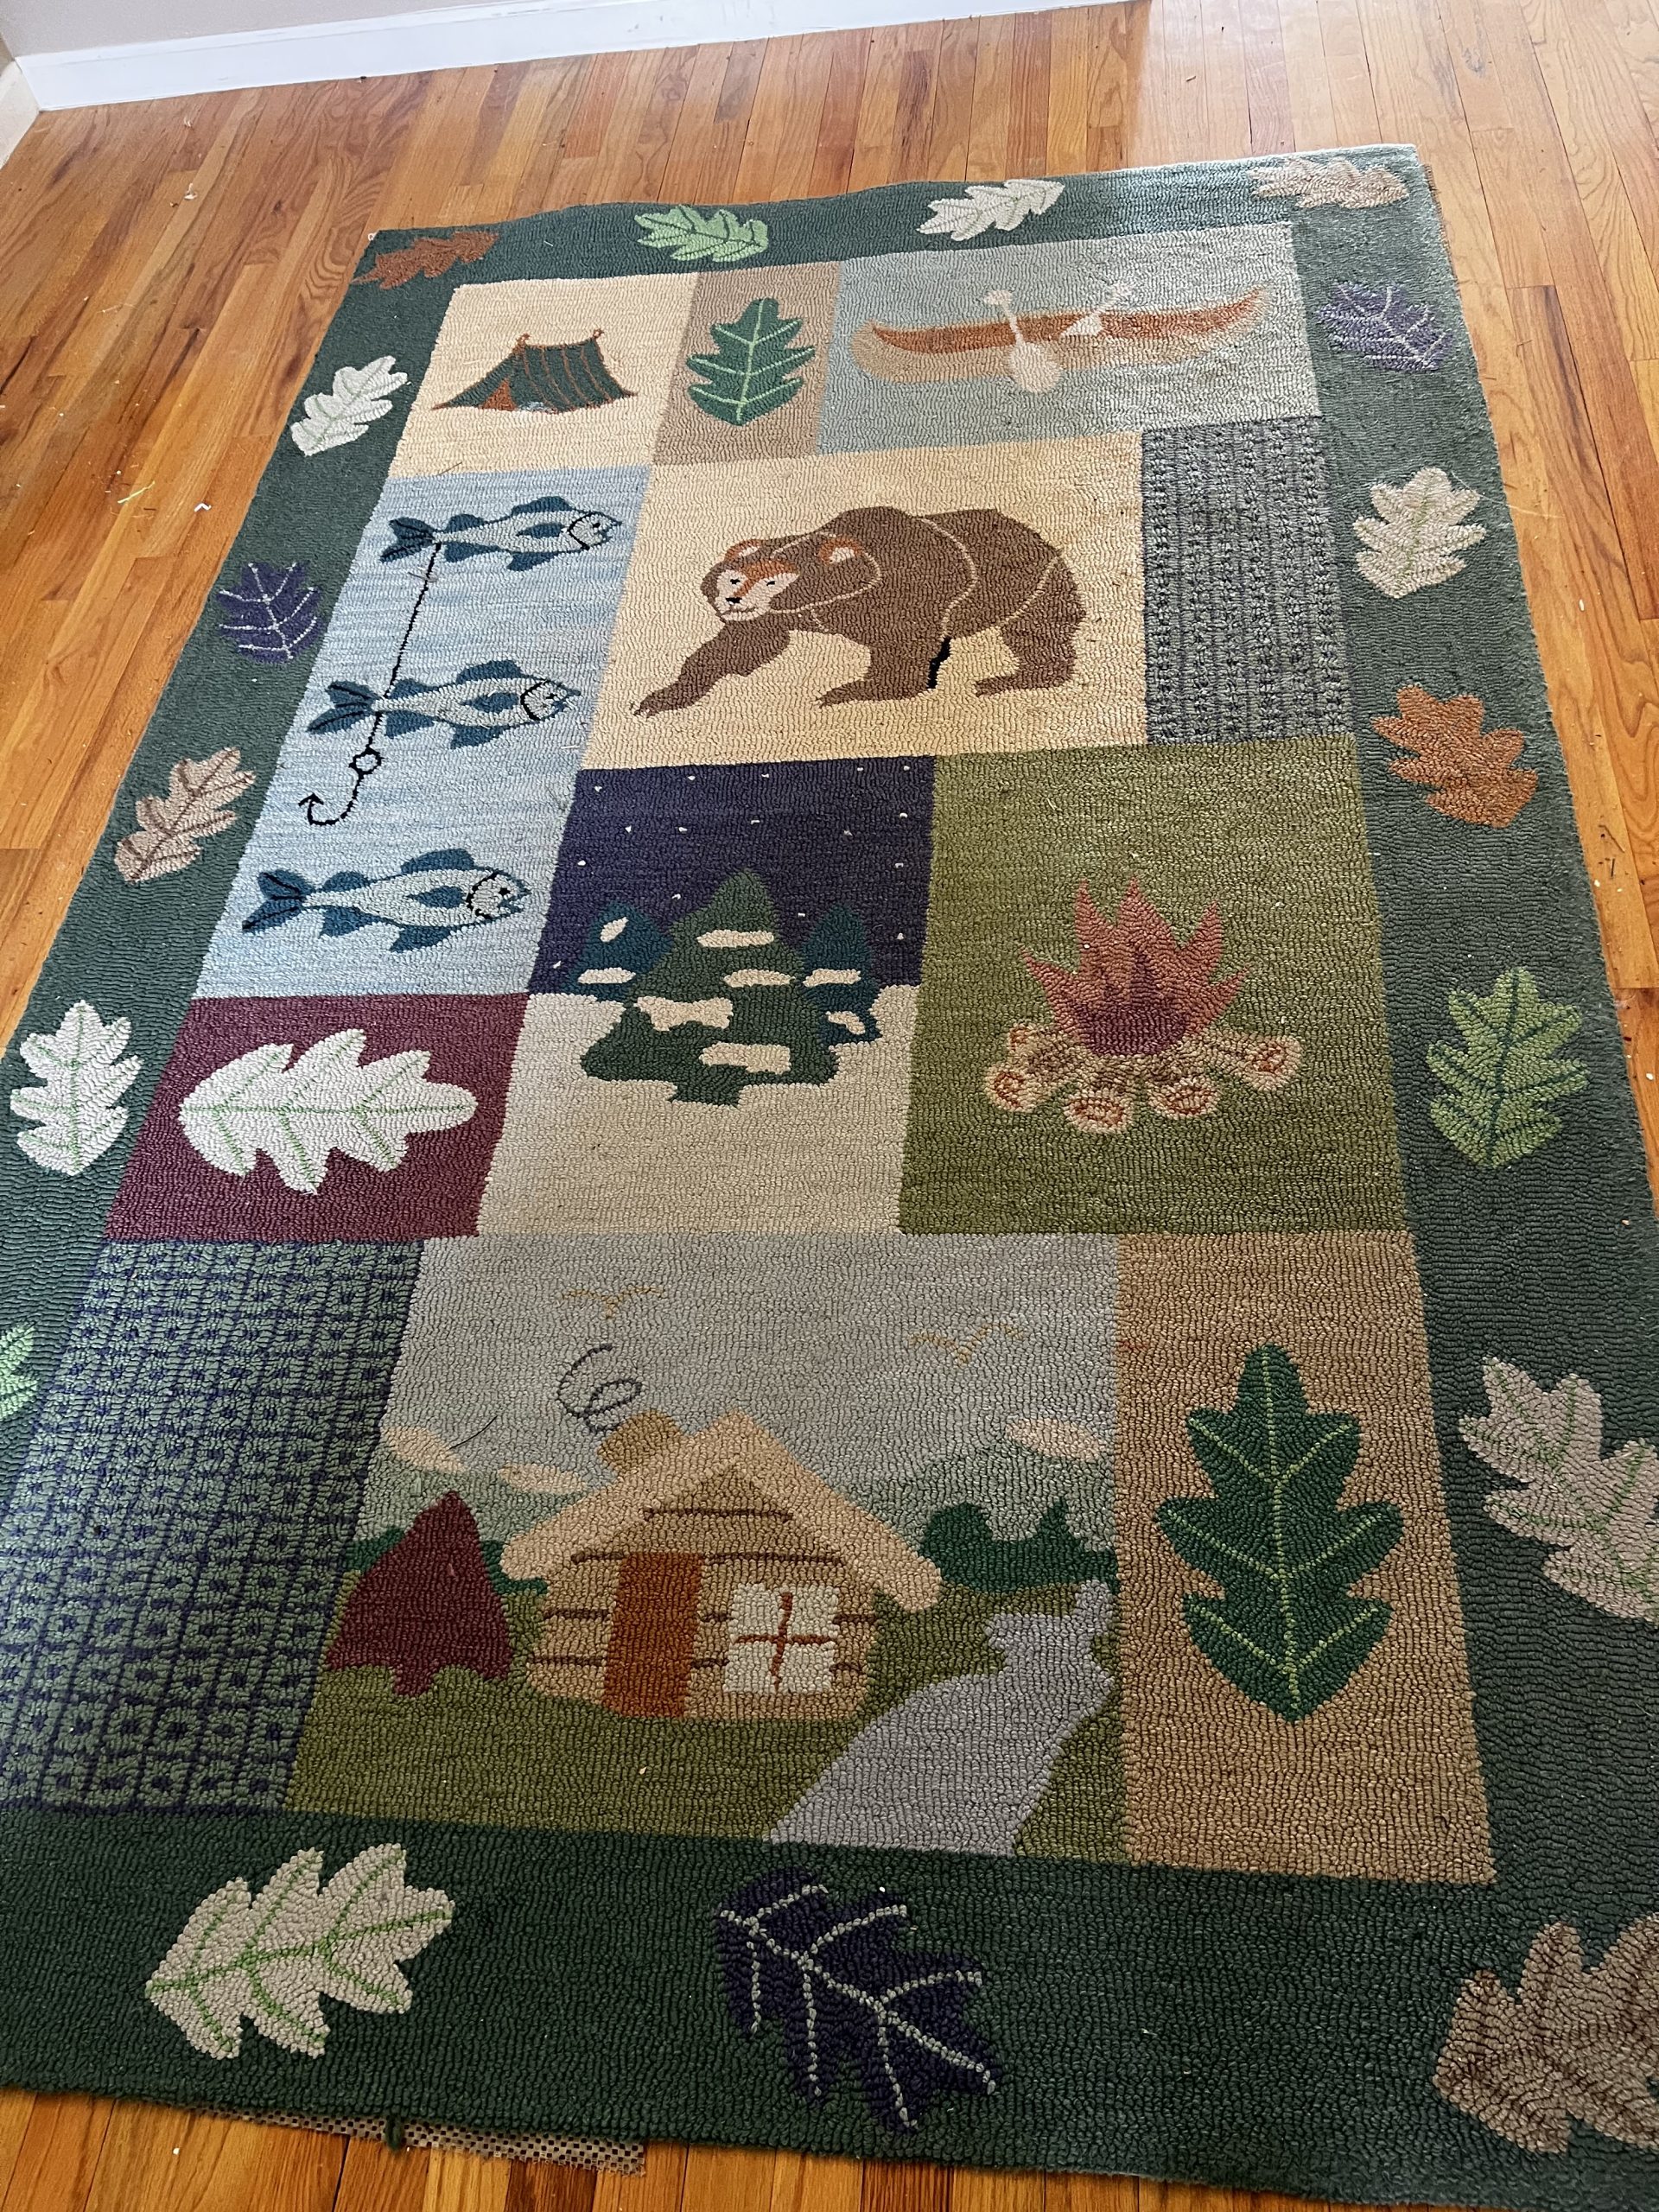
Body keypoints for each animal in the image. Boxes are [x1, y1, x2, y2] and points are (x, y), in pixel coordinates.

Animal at [634, 503, 1085, 715]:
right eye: (733, 577)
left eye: (773, 581)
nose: (732, 599)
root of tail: (1040, 538)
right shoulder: (781, 616)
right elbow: (743, 646)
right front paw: (666, 695)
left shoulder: (908, 589)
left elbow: (904, 651)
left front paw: (854, 690)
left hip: (1036, 585)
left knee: (1036, 633)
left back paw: (1013, 680)